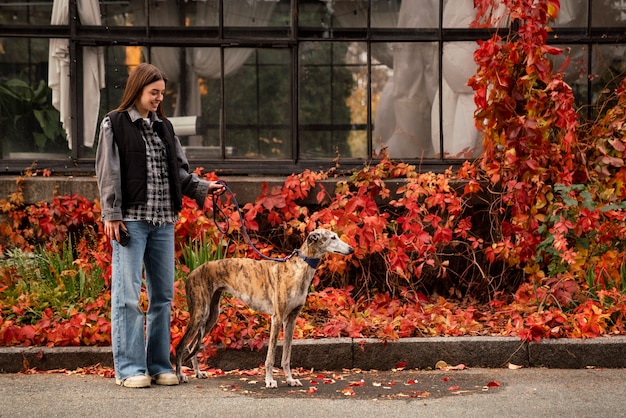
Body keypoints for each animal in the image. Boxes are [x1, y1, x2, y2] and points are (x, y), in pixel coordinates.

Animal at [174, 229, 352, 388]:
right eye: (332, 237)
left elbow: (286, 356)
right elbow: (270, 356)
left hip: (212, 316)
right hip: (200, 313)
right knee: (181, 345)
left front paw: (290, 380)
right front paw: (270, 381)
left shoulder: (291, 319)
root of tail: (190, 274)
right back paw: (180, 376)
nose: (351, 250)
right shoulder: (277, 318)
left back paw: (198, 372)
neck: (297, 270)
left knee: (192, 346)